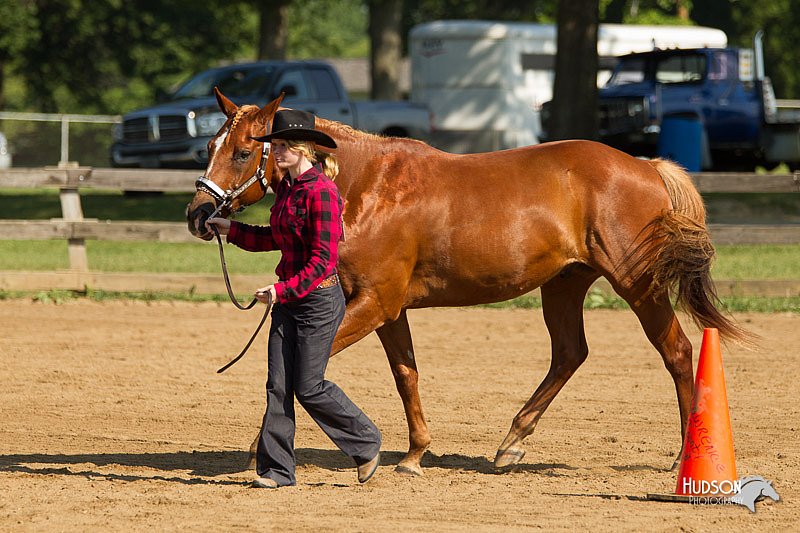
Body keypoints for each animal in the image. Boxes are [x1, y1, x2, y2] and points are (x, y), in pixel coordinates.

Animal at [184, 89, 748, 476]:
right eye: (209, 144)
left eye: (241, 152)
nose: (198, 215)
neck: (365, 186)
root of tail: (647, 167)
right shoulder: (386, 308)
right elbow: (406, 375)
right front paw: (414, 454)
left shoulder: (375, 303)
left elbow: (312, 369)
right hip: (564, 284)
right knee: (570, 353)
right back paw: (511, 441)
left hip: (637, 284)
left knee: (677, 352)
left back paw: (682, 457)